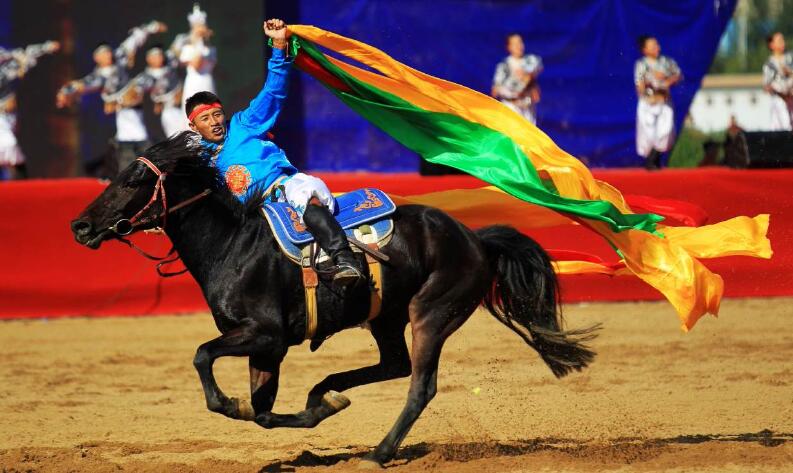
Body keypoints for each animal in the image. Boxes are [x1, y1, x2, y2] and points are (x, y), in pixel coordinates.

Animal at [70, 132, 598, 467]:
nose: (80, 225)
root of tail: (475, 238)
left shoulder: (265, 335)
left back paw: (379, 453)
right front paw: (316, 409)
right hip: (385, 319)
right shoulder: (267, 350)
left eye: (132, 181)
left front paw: (230, 403)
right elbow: (263, 412)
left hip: (430, 314)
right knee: (394, 366)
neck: (233, 244)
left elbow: (203, 357)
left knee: (420, 385)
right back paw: (329, 392)